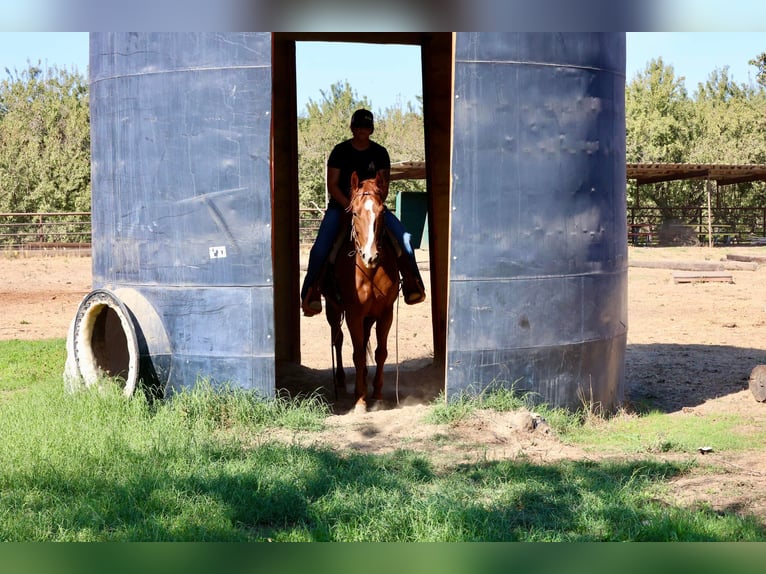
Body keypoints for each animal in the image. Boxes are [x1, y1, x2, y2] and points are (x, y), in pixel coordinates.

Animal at [322, 171, 400, 412]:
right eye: (355, 212)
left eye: (382, 212)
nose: (370, 255)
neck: (369, 271)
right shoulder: (354, 314)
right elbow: (356, 354)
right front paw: (360, 399)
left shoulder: (385, 313)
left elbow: (380, 352)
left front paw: (378, 395)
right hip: (333, 310)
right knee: (337, 339)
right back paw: (341, 380)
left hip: (369, 316)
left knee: (364, 341)